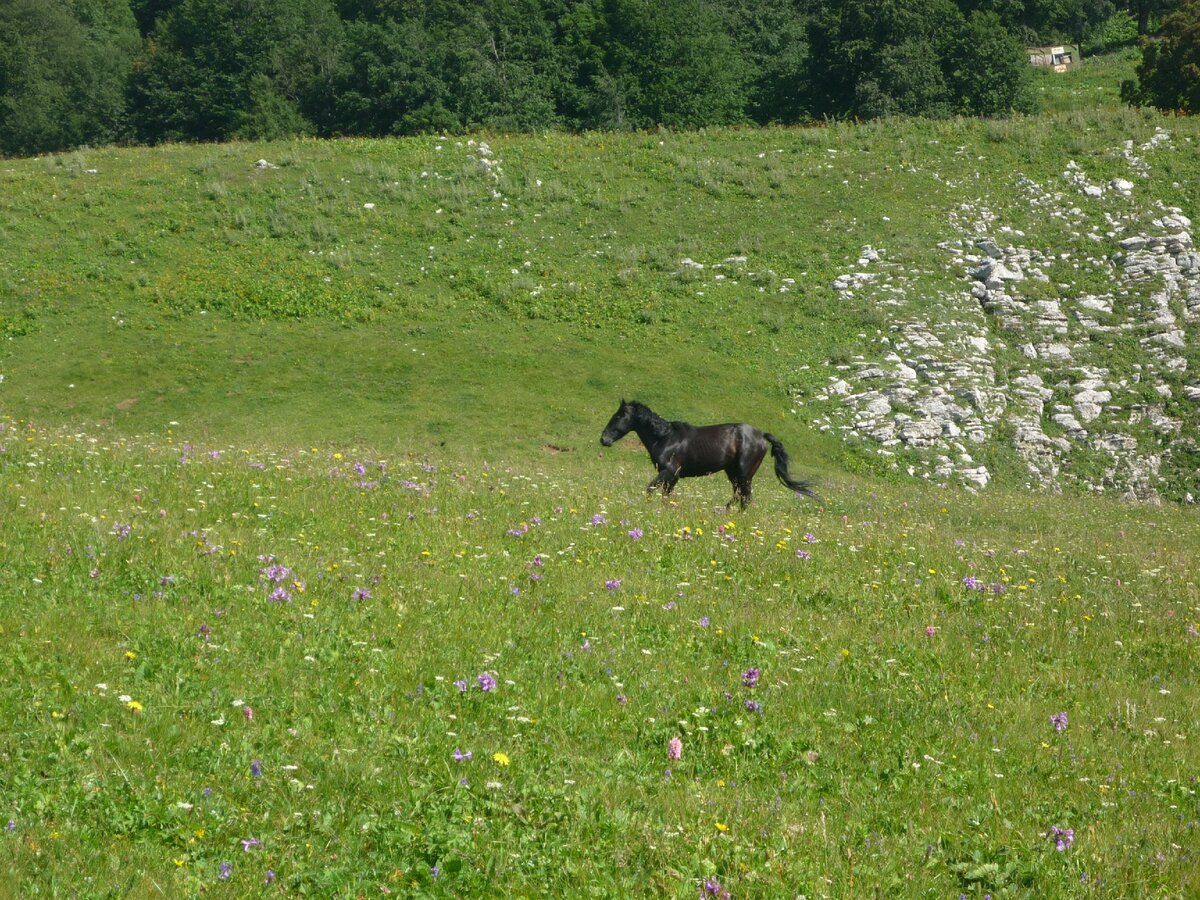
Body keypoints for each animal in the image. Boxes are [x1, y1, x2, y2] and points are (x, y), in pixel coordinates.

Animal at [600, 400, 825, 511]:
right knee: (739, 495)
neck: (666, 438)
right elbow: (664, 495)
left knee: (745, 497)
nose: (604, 440)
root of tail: (762, 435)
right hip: (733, 473)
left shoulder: (670, 472)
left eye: (619, 416)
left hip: (744, 474)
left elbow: (650, 489)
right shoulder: (672, 476)